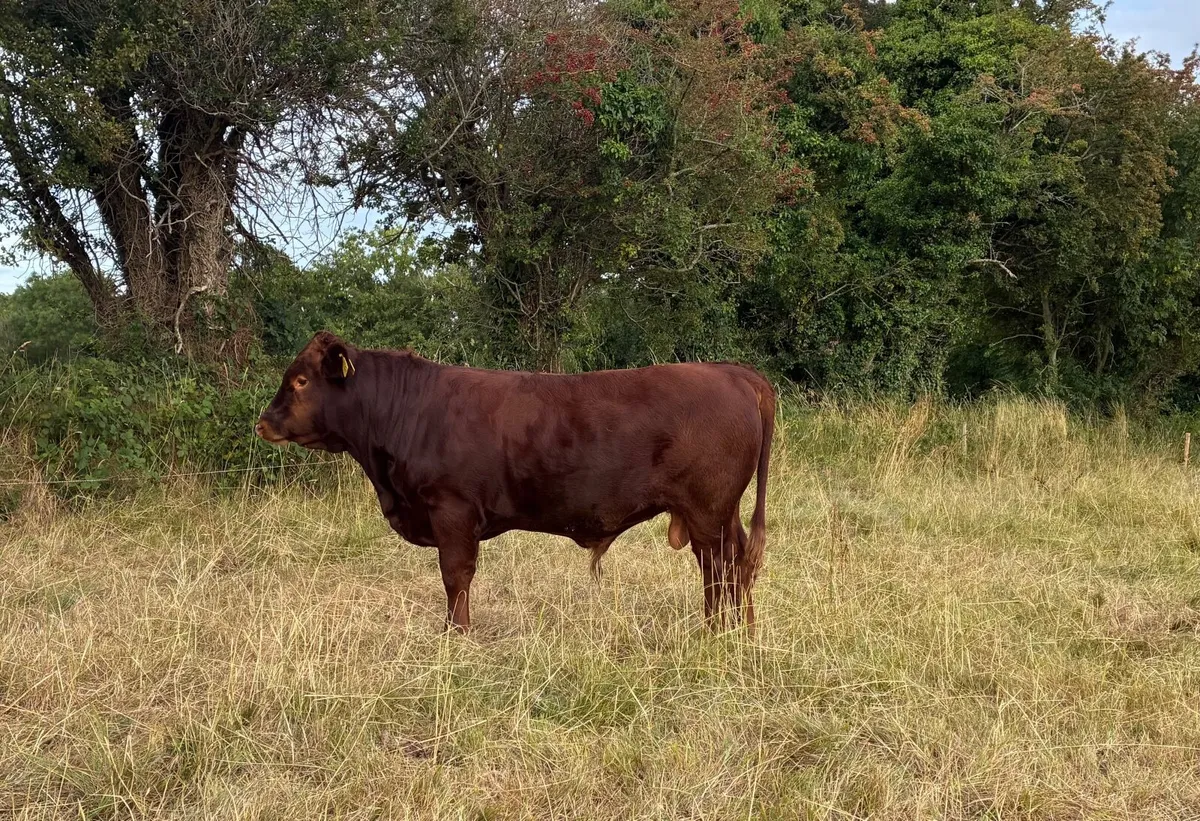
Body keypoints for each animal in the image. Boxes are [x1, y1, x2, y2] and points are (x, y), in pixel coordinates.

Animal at [255, 331, 775, 634]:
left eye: (300, 381)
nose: (263, 423)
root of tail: (730, 371)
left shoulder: (451, 509)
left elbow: (456, 577)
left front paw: (458, 635)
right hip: (717, 512)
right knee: (735, 567)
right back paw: (739, 631)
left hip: (708, 510)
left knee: (721, 569)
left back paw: (718, 633)